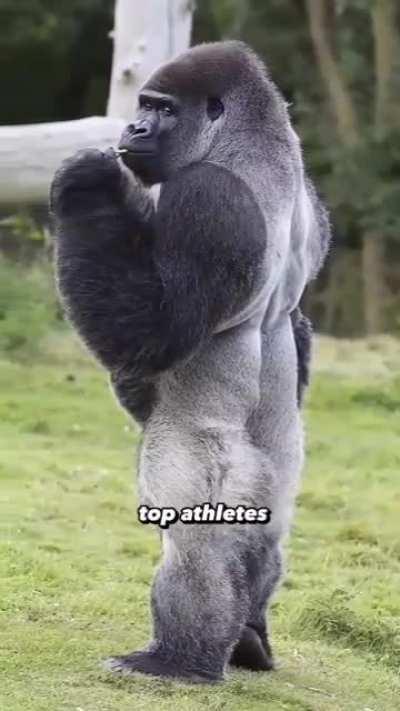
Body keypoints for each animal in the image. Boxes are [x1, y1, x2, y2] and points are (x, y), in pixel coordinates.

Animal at [50, 41, 330, 683]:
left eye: (162, 109)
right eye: (144, 106)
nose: (133, 127)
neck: (255, 140)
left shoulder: (207, 198)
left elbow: (157, 331)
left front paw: (90, 186)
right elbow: (298, 324)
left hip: (210, 461)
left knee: (195, 545)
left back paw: (181, 659)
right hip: (283, 470)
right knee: (265, 537)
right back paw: (250, 641)